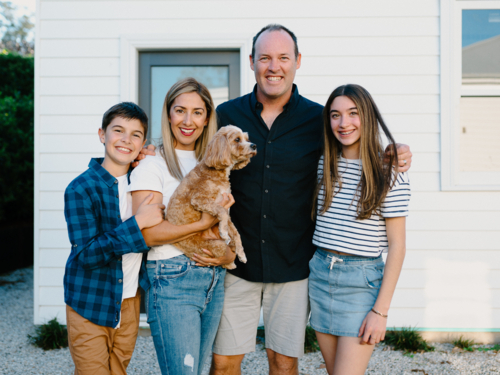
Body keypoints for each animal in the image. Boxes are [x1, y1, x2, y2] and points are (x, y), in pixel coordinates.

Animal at [167, 126, 256, 270]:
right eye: (237, 139)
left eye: (246, 138)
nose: (254, 145)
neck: (216, 170)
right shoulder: (200, 200)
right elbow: (222, 211)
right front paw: (224, 232)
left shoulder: (227, 208)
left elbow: (236, 233)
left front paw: (242, 254)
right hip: (214, 246)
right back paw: (230, 263)